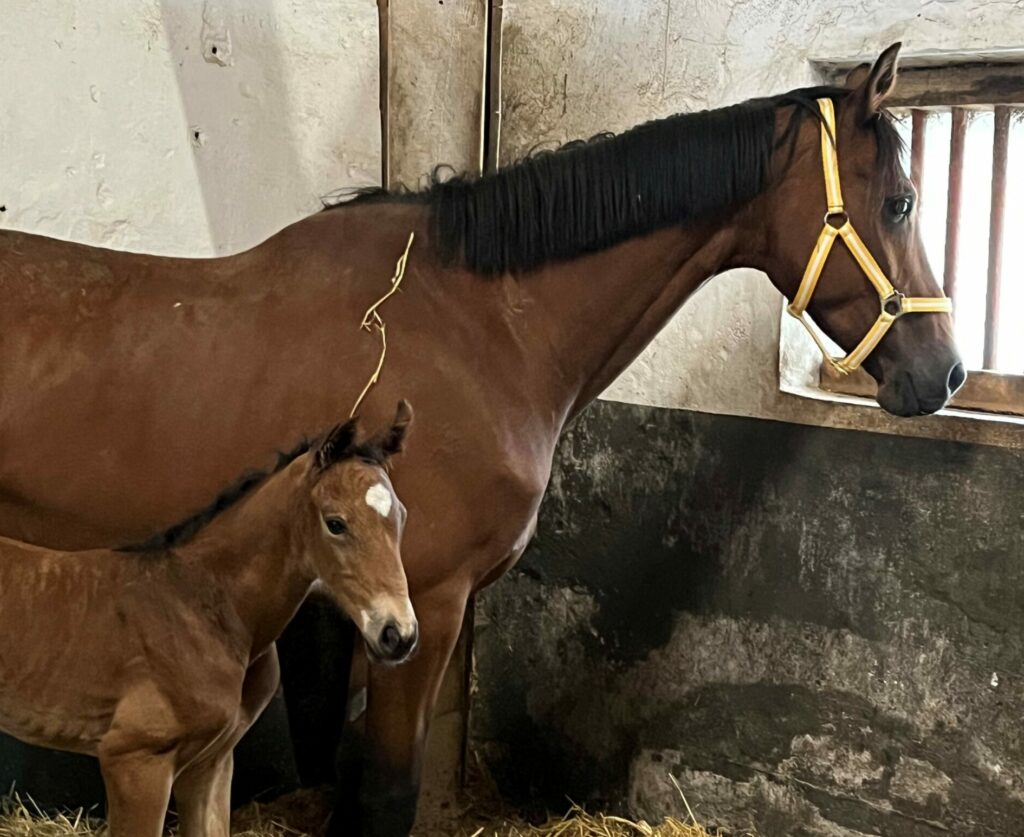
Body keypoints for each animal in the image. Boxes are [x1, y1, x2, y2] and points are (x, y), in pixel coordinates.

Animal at [0, 401, 415, 831]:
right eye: (335, 523)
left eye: (401, 517)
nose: (398, 634)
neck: (205, 609)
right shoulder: (134, 759)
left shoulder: (211, 762)